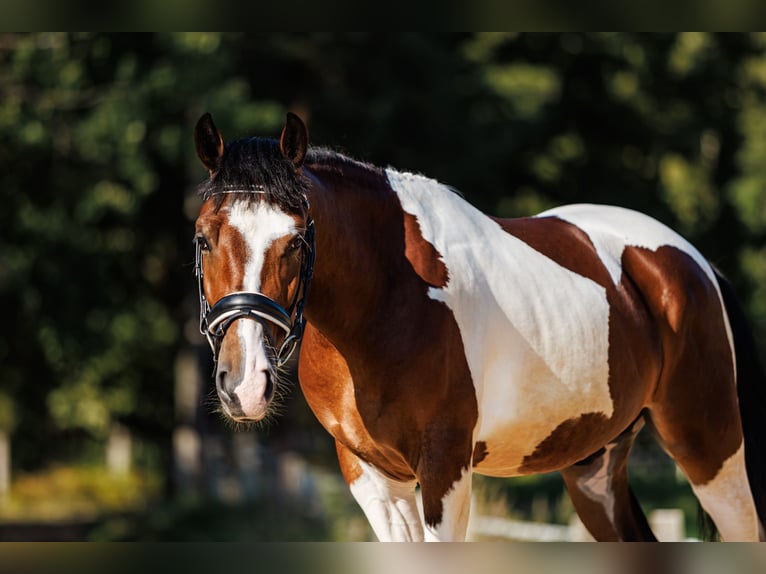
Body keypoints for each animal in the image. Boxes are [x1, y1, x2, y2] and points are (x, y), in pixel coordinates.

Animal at [190, 110, 766, 544]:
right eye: (203, 238)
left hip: (711, 453)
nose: (245, 384)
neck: (384, 299)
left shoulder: (444, 470)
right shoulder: (372, 478)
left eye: (295, 241)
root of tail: (692, 263)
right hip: (594, 469)